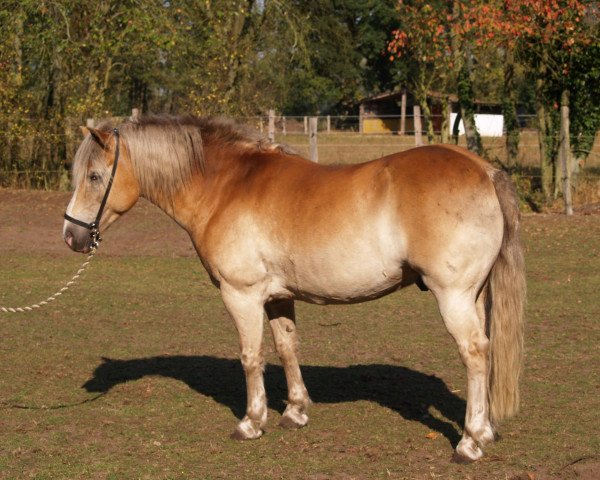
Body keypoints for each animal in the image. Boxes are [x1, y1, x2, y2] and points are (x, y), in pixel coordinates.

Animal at [62, 115, 524, 462]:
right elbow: (286, 348)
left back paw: (470, 442)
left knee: (475, 354)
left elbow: (251, 357)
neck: (226, 187)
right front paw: (295, 412)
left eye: (95, 176)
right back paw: (483, 432)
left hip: (454, 296)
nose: (71, 236)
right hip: (474, 295)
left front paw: (251, 422)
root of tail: (484, 170)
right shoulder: (279, 297)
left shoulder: (242, 295)